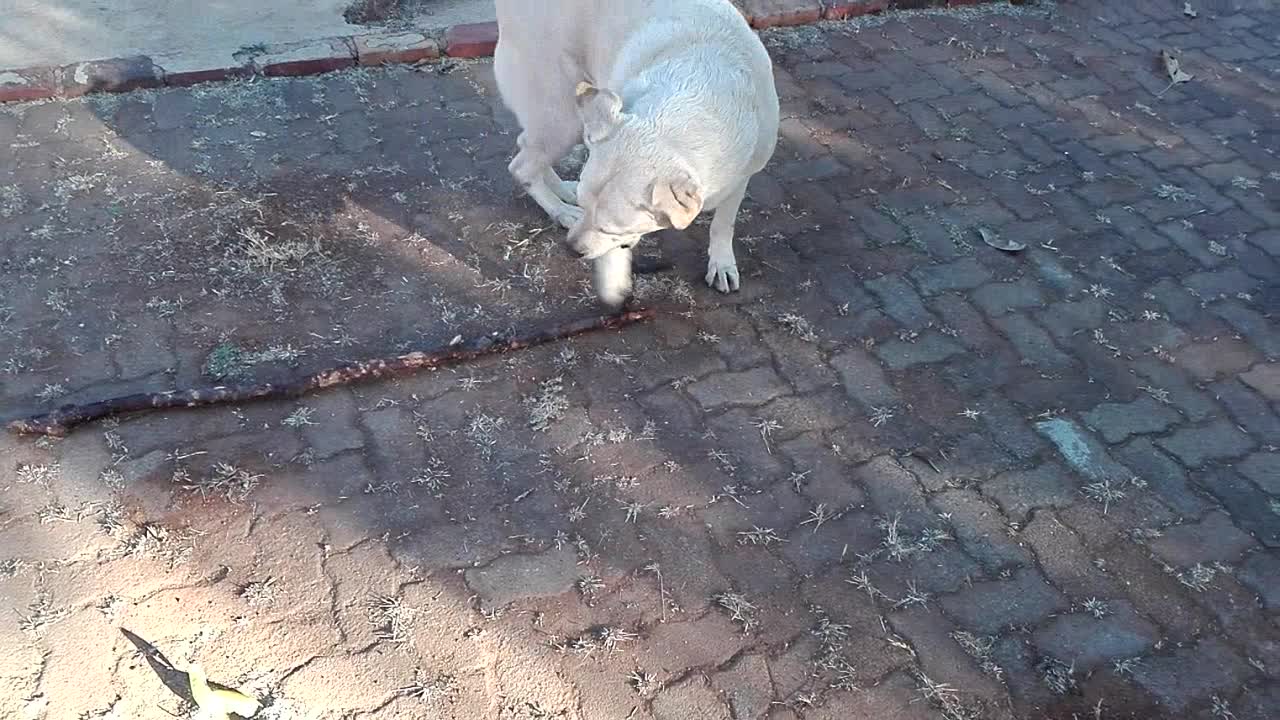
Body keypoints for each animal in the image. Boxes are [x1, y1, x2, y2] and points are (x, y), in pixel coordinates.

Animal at [491, 0, 778, 304]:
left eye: (610, 228)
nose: (571, 249)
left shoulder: (740, 176)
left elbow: (724, 224)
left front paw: (722, 263)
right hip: (563, 120)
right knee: (521, 166)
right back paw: (561, 210)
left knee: (528, 148)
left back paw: (563, 191)